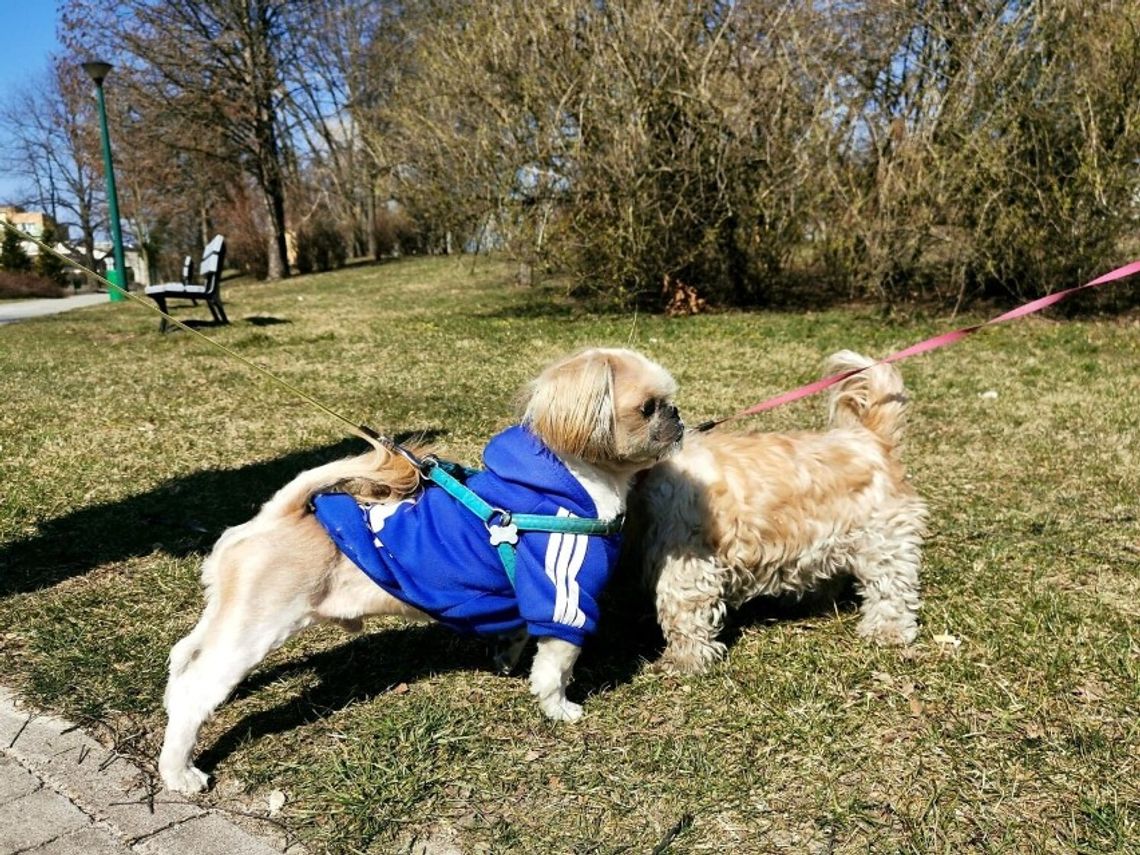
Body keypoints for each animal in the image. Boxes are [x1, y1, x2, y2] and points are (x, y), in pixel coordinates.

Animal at [158, 348, 674, 798]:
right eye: (647, 408)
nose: (677, 415)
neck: (567, 486)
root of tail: (275, 517)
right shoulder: (562, 598)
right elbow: (556, 666)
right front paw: (559, 708)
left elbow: (515, 635)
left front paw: (505, 659)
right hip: (255, 628)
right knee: (196, 692)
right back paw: (179, 770)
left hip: (225, 617)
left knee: (184, 657)